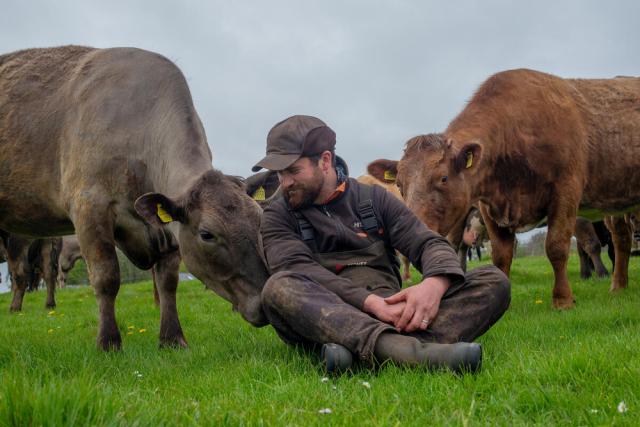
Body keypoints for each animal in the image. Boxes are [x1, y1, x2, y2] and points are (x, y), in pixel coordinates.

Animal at [0, 46, 269, 350]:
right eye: (207, 234)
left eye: (260, 221)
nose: (264, 303)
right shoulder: (88, 205)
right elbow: (106, 276)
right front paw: (108, 342)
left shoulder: (166, 228)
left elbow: (168, 281)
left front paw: (172, 339)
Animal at [374, 69, 640, 308]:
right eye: (399, 184)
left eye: (444, 178)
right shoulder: (489, 206)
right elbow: (501, 255)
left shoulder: (566, 192)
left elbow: (556, 247)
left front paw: (563, 299)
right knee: (622, 239)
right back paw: (618, 286)